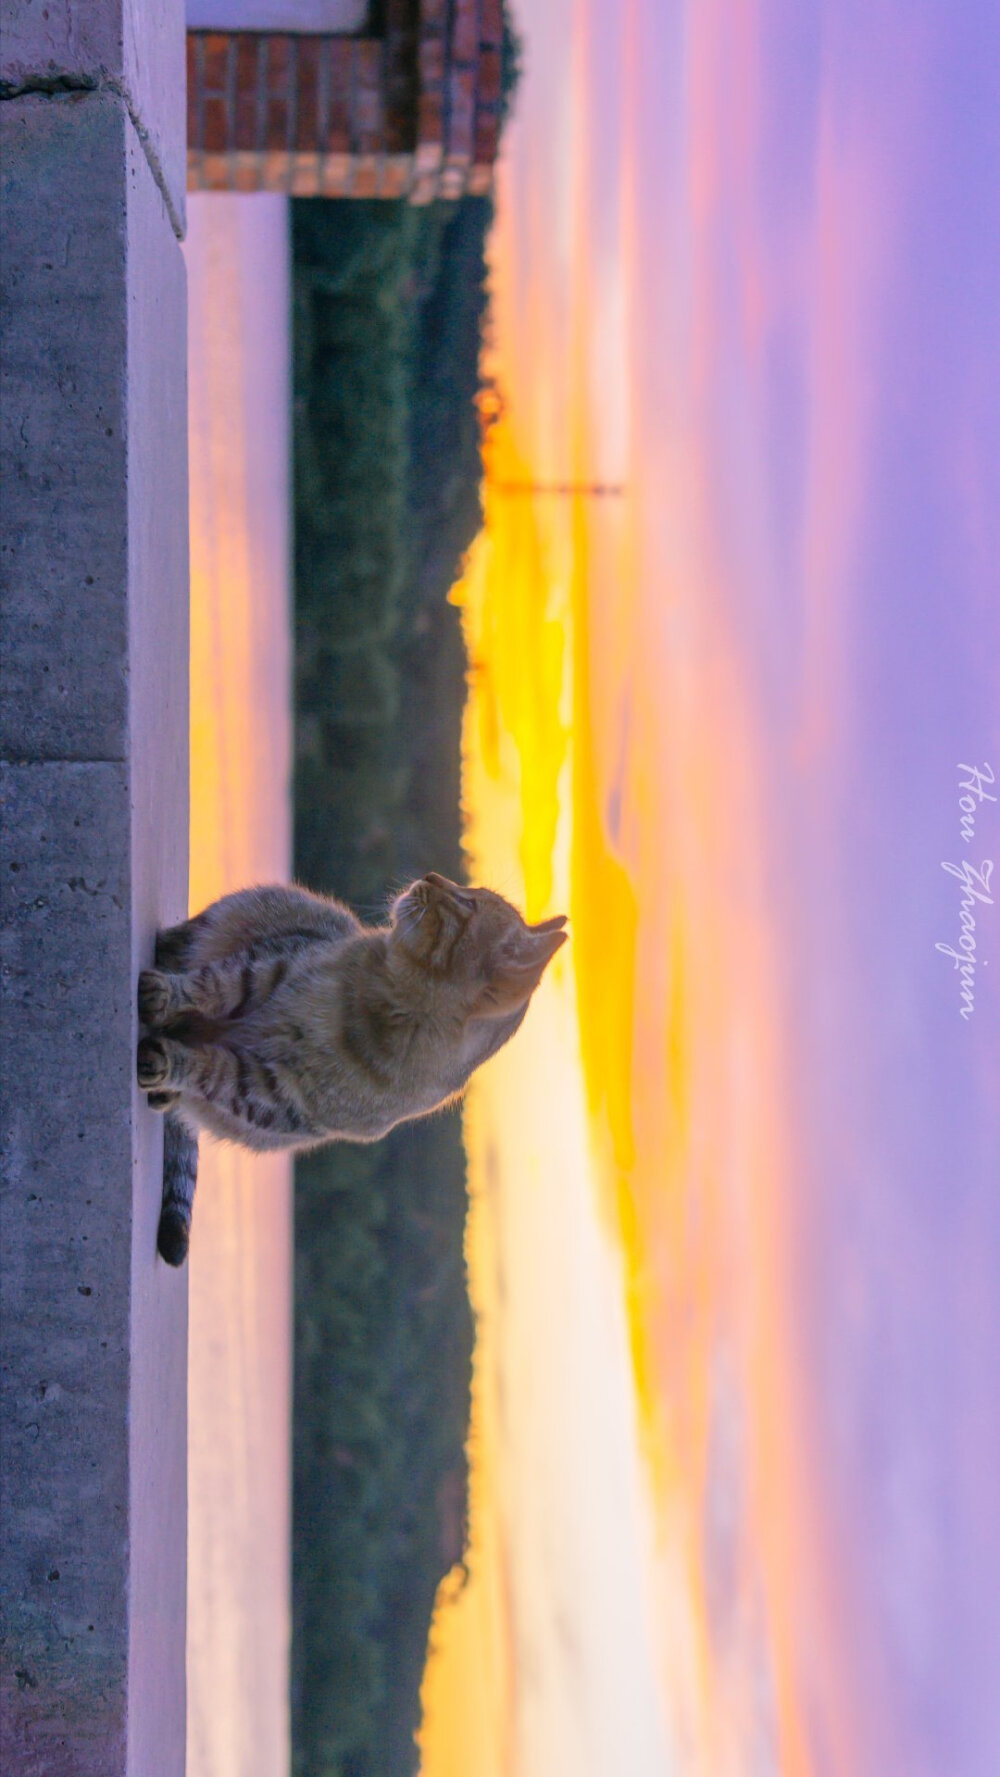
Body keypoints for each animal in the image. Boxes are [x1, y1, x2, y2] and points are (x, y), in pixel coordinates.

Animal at [136, 874, 568, 1265]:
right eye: (466, 889)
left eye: (467, 903)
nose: (429, 877)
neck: (384, 1000)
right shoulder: (270, 964)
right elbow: (212, 986)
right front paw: (168, 996)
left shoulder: (270, 1094)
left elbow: (210, 1069)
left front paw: (171, 1062)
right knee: (179, 951)